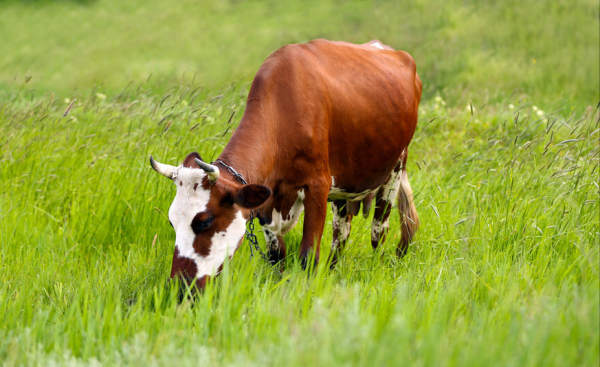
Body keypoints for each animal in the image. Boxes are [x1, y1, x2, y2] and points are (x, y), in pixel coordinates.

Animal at [150, 38, 422, 290]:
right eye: (172, 222)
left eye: (204, 221)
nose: (179, 286)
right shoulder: (266, 199)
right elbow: (276, 255)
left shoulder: (318, 185)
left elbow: (308, 256)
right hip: (346, 186)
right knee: (341, 234)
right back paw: (332, 270)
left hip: (395, 168)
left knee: (379, 229)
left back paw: (377, 263)